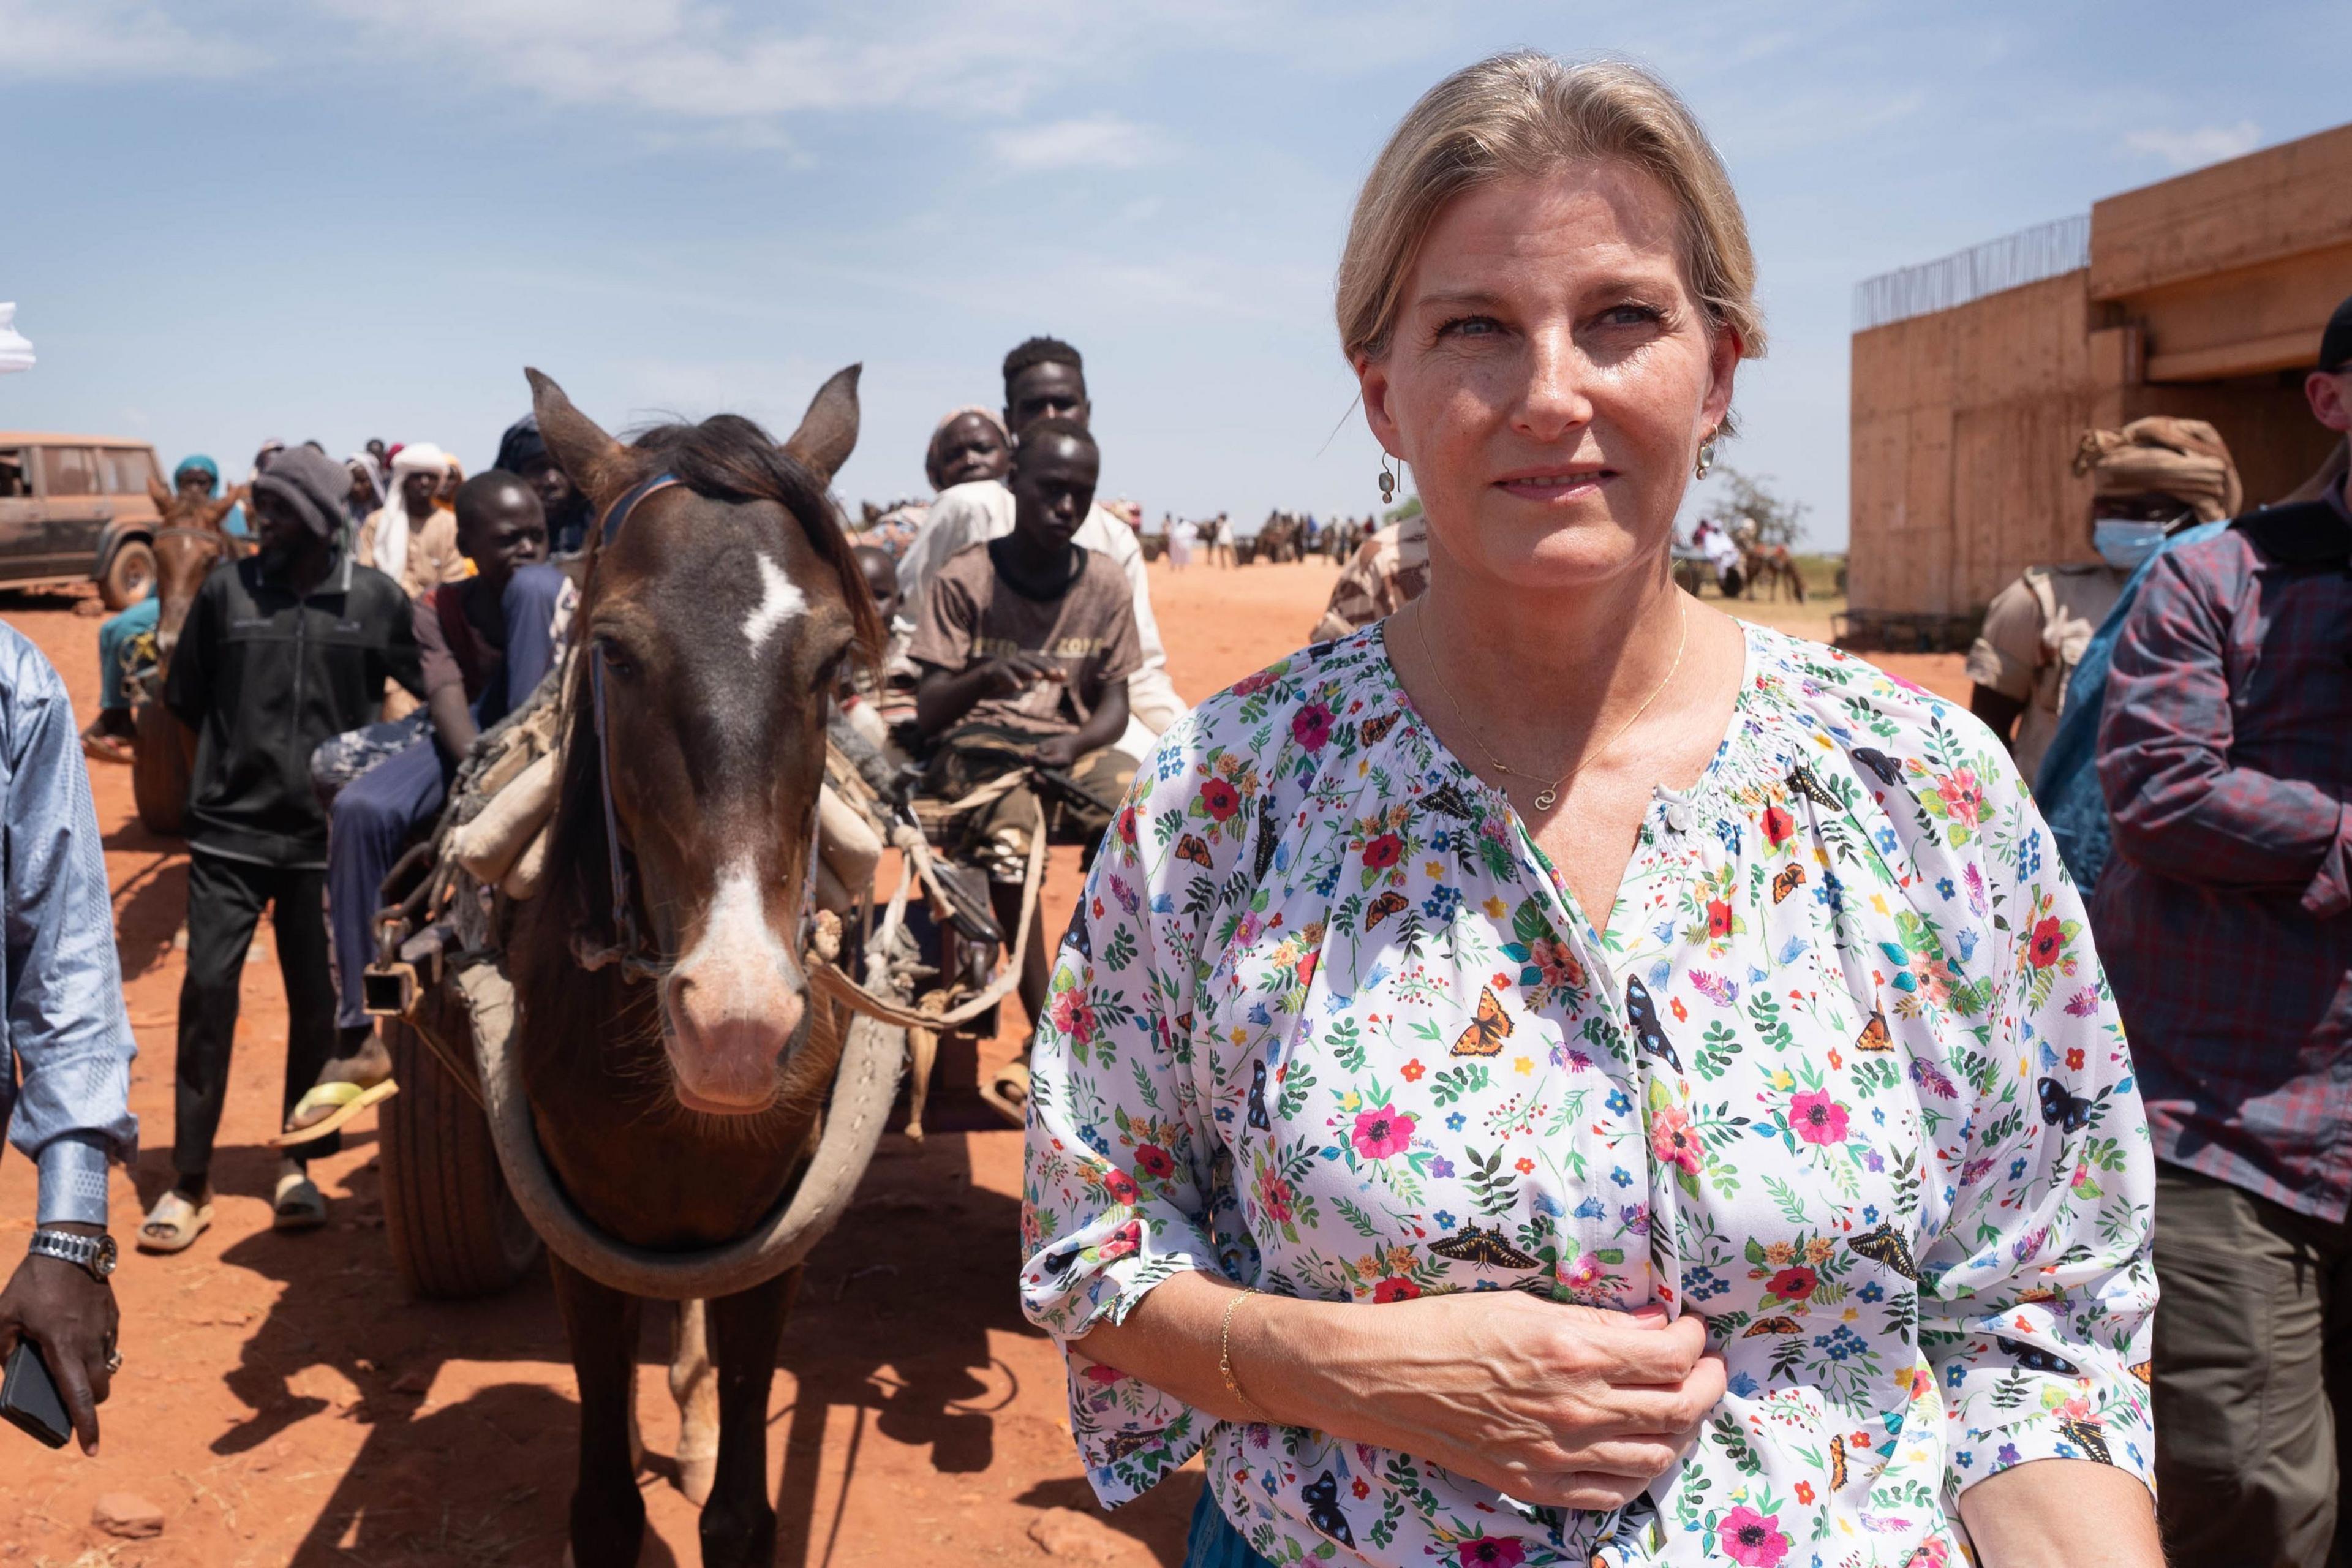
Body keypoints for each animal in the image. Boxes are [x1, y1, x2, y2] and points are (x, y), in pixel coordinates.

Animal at [513, 371, 884, 1568]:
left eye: (833, 663)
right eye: (614, 650)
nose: (736, 1024)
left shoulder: (770, 1242)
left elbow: (742, 1518)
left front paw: (711, 1441)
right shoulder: (578, 1243)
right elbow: (602, 1511)